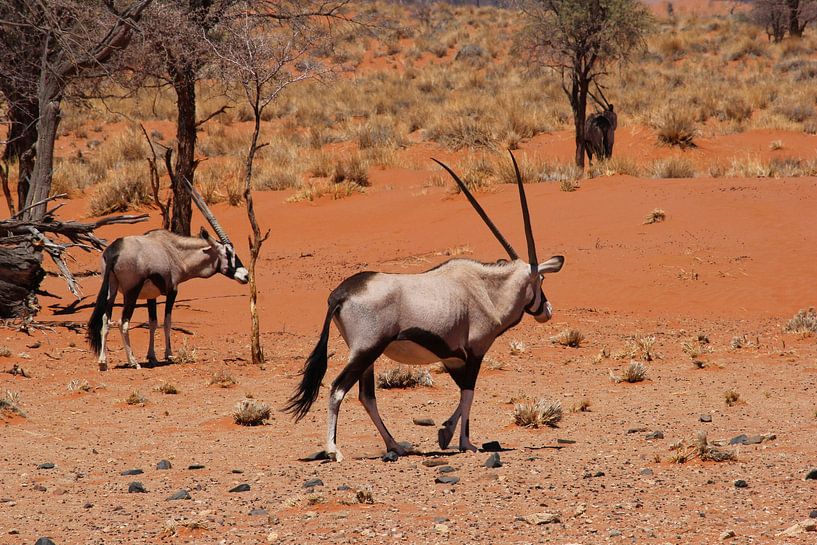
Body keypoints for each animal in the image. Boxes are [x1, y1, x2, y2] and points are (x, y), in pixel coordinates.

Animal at [88, 178, 249, 370]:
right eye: (228, 253)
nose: (246, 275)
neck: (174, 251)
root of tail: (114, 251)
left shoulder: (151, 296)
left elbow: (153, 323)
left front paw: (152, 356)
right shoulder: (172, 290)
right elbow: (167, 322)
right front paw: (169, 354)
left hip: (111, 290)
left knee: (106, 320)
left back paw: (103, 362)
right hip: (130, 292)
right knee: (123, 322)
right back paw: (133, 362)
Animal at [286, 151, 560, 462]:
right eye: (540, 280)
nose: (547, 310)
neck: (486, 290)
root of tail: (339, 295)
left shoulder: (453, 357)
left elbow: (462, 394)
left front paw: (444, 434)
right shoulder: (475, 351)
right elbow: (469, 393)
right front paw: (465, 442)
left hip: (366, 355)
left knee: (366, 396)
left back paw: (394, 445)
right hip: (366, 350)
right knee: (337, 389)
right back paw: (334, 450)